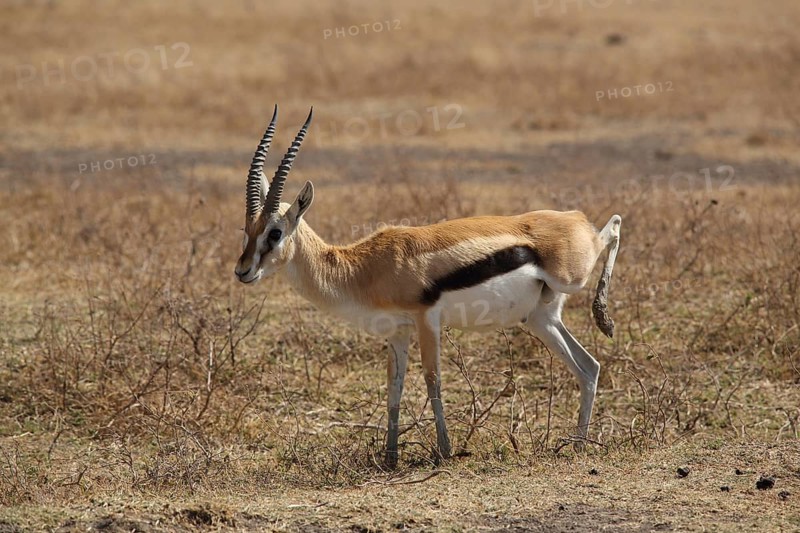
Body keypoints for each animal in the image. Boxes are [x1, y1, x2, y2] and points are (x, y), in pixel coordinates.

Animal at [235, 106, 622, 467]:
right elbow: (394, 388)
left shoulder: (426, 321)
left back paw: (604, 318)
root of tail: (570, 217)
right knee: (589, 368)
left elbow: (432, 380)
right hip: (542, 319)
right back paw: (578, 445)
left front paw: (445, 451)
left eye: (275, 233)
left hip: (571, 278)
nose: (242, 271)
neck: (365, 267)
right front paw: (390, 458)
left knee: (614, 227)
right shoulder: (397, 332)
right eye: (247, 230)